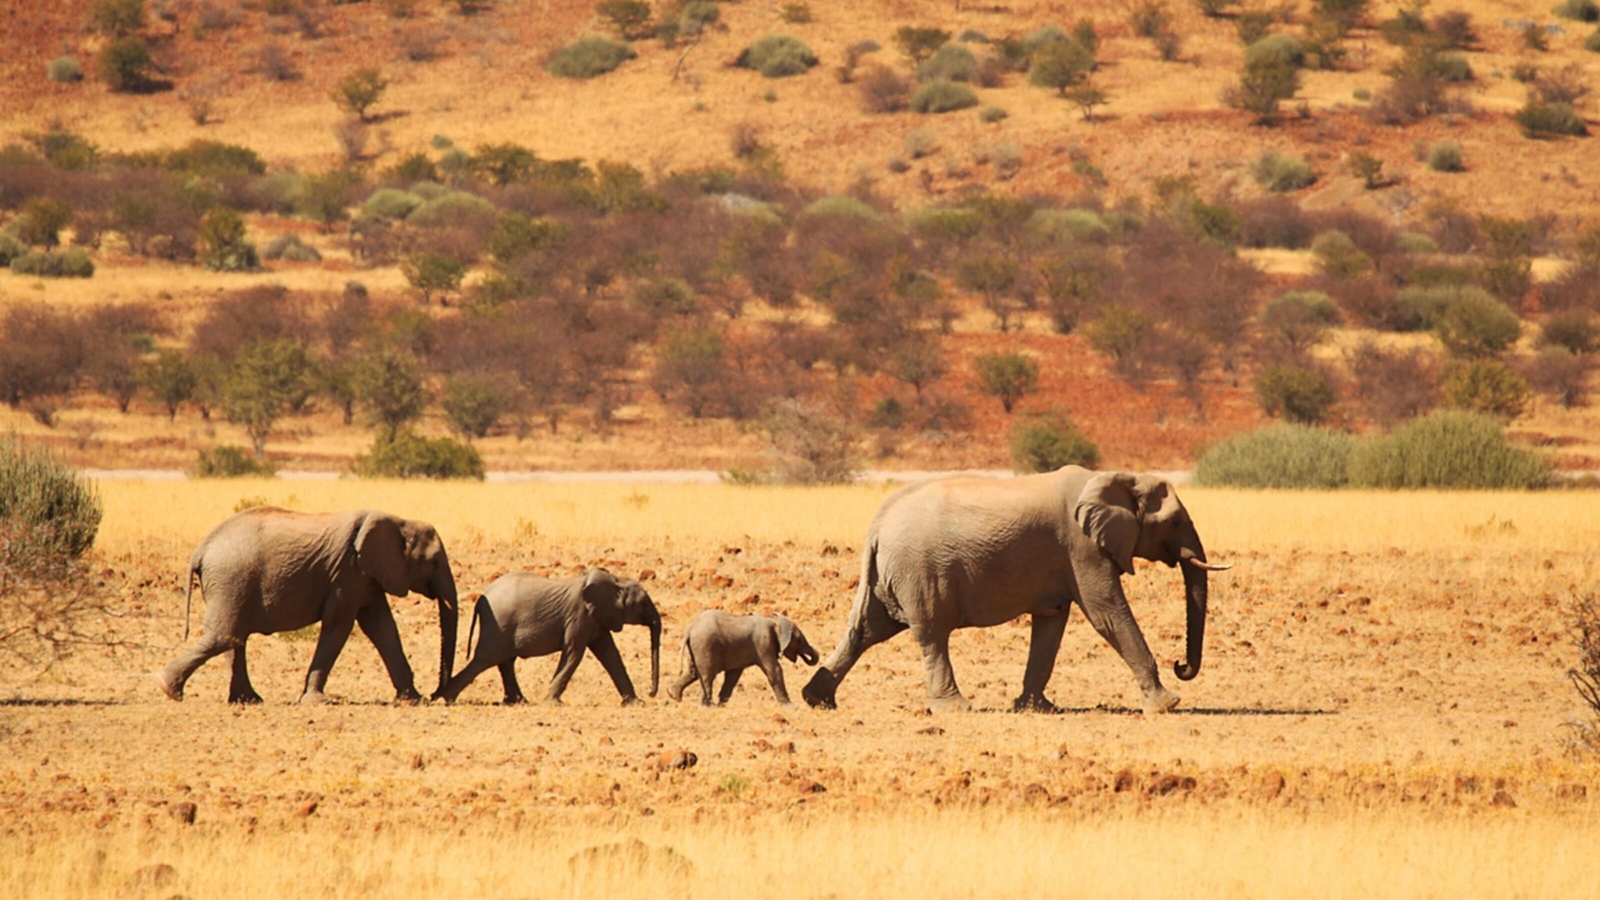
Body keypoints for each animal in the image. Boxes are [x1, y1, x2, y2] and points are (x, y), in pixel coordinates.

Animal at [158, 507, 459, 705]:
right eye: (434, 563)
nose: (438, 695)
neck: (400, 522)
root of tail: (201, 549)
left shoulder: (367, 576)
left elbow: (381, 627)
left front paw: (414, 700)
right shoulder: (348, 572)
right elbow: (340, 625)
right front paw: (318, 702)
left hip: (228, 583)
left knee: (234, 638)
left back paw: (248, 700)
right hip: (231, 579)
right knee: (225, 637)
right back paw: (168, 688)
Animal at [435, 568, 661, 706]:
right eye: (643, 603)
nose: (651, 693)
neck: (615, 581)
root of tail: (482, 598)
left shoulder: (597, 618)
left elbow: (610, 654)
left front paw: (635, 703)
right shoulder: (579, 616)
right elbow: (574, 653)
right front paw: (554, 703)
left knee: (504, 661)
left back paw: (519, 701)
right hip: (498, 624)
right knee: (485, 659)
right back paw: (448, 698)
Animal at [665, 611, 820, 706]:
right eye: (799, 640)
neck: (773, 621)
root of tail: (690, 629)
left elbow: (733, 676)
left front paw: (722, 704)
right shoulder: (763, 644)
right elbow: (774, 670)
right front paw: (790, 707)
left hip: (697, 647)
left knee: (692, 672)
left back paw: (674, 695)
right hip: (705, 645)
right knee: (707, 675)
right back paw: (706, 706)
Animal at [800, 467, 1230, 714]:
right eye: (1174, 522)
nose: (1181, 665)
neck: (1115, 476)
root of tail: (877, 524)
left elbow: (1052, 622)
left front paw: (1037, 708)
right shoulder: (1082, 548)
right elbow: (1107, 613)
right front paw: (1167, 704)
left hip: (892, 574)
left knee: (867, 631)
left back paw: (817, 700)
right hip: (919, 572)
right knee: (932, 633)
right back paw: (956, 709)